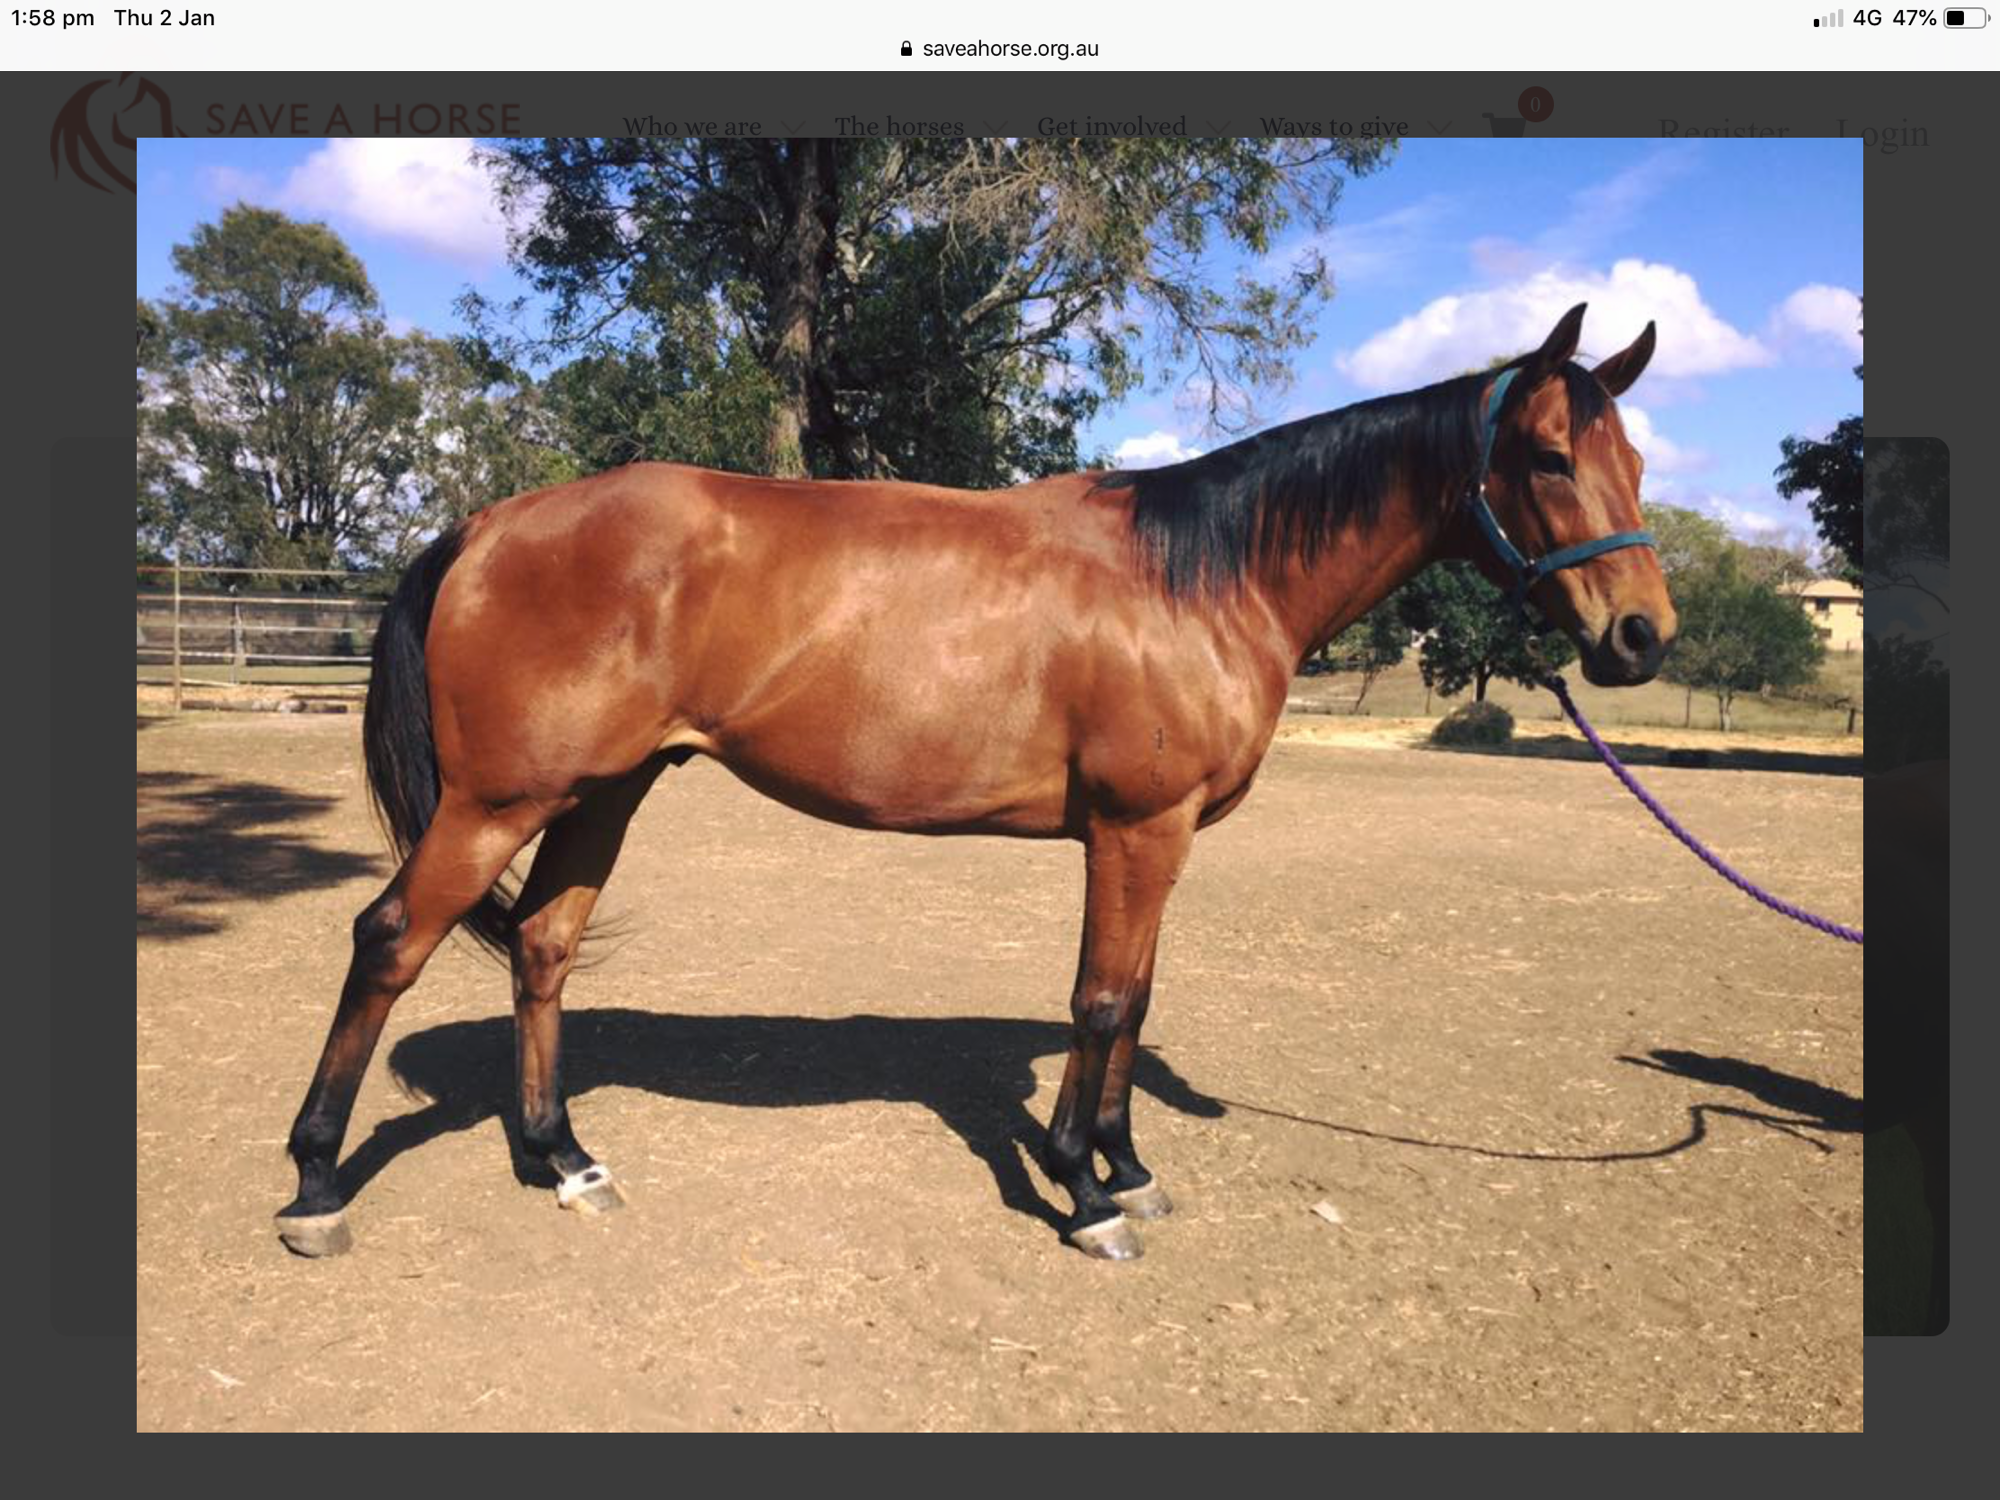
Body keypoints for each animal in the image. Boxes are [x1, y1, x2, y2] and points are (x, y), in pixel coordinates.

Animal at [277, 302, 1675, 1261]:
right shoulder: (1134, 830)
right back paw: (315, 1186)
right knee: (389, 940)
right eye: (1547, 458)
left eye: (1639, 465)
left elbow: (1135, 999)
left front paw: (1127, 1164)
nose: (1639, 637)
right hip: (498, 803)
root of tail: (487, 525)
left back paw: (561, 1158)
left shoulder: (1159, 838)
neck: (1198, 576)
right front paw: (1086, 1194)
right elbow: (1102, 1002)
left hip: (602, 794)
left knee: (542, 948)